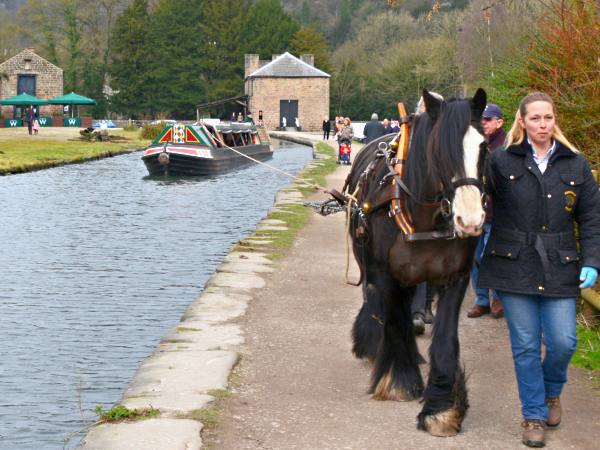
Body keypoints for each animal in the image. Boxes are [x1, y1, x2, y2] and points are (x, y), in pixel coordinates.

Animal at [342, 88, 488, 436]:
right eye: (439, 150)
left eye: (484, 146)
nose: (471, 220)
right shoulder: (388, 274)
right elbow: (395, 321)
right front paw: (399, 381)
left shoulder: (455, 277)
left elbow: (445, 339)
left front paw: (442, 408)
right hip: (367, 259)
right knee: (374, 300)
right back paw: (372, 342)